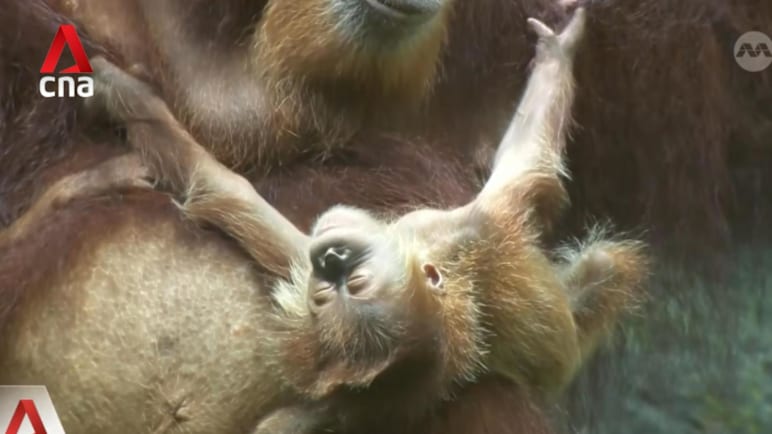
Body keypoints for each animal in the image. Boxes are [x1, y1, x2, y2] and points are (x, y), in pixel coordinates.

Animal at [79, 9, 646, 433]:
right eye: (328, 294)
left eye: (354, 285)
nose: (330, 258)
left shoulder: (463, 230)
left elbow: (225, 190)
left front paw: (120, 90)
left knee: (606, 265)